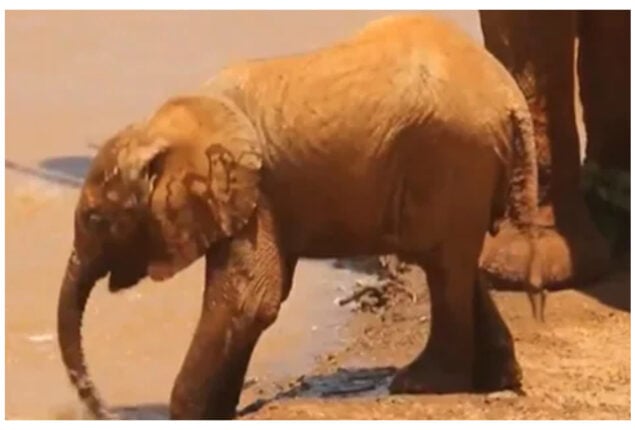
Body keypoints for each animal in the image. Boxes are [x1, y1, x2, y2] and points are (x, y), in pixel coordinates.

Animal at [56, 14, 540, 420]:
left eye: (96, 219)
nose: (101, 410)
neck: (167, 125)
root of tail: (510, 97)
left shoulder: (255, 194)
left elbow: (249, 299)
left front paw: (191, 415)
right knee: (454, 261)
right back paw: (497, 379)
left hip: (451, 155)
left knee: (440, 264)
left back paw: (420, 384)